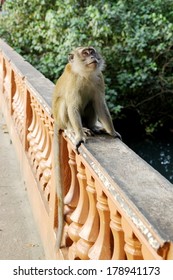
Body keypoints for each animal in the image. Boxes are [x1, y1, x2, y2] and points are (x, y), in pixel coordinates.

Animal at [52, 46, 121, 249]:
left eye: (92, 51)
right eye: (85, 53)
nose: (92, 57)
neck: (85, 75)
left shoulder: (99, 79)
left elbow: (100, 103)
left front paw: (112, 131)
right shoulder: (74, 82)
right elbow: (72, 106)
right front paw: (80, 136)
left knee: (91, 103)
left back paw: (92, 126)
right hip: (61, 116)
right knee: (65, 104)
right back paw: (76, 129)